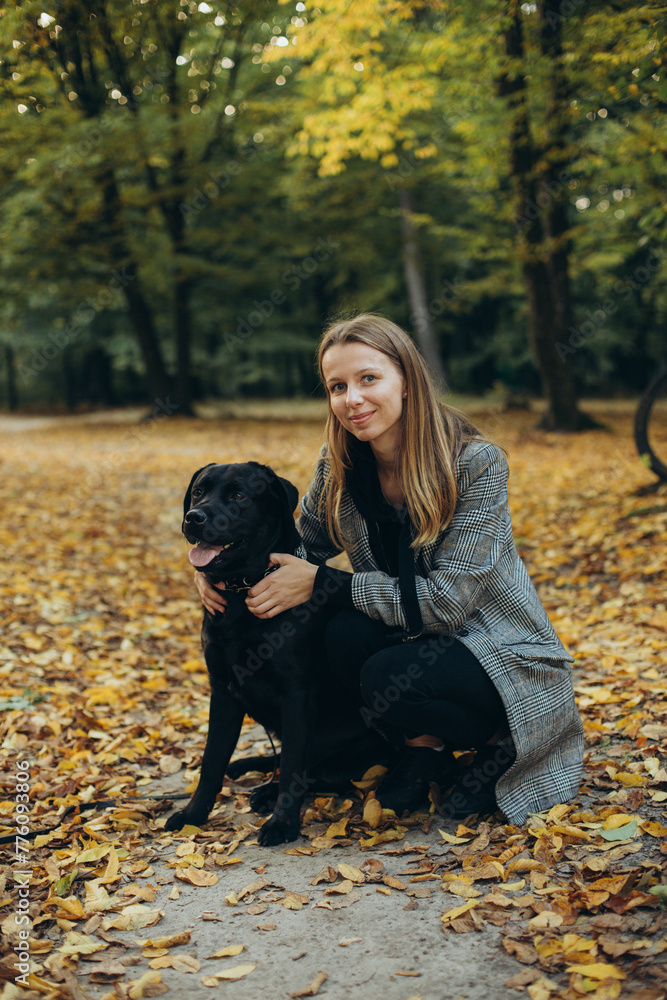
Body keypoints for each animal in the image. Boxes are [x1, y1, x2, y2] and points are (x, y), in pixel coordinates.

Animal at [164, 460, 392, 844]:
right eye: (198, 491)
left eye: (239, 496)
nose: (193, 517)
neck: (243, 589)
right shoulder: (222, 690)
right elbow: (211, 760)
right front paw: (193, 813)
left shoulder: (296, 694)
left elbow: (292, 770)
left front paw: (282, 824)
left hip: (359, 756)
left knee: (313, 771)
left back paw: (265, 792)